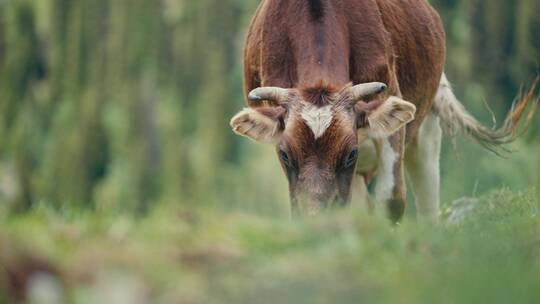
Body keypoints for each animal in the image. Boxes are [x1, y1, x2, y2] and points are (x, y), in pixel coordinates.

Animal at [230, 0, 536, 221]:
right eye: (284, 154)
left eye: (350, 154)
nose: (318, 219)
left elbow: (391, 200)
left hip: (426, 127)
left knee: (427, 199)